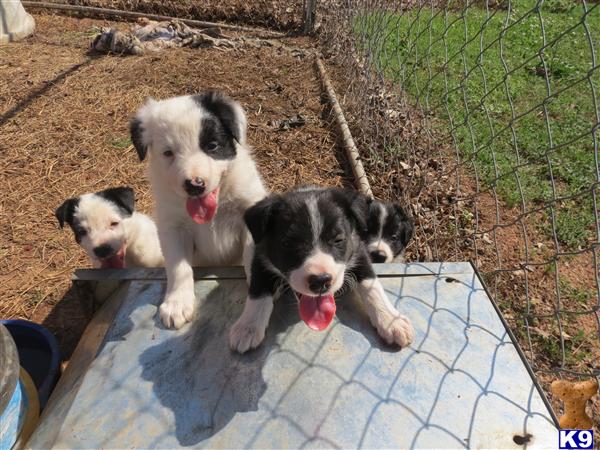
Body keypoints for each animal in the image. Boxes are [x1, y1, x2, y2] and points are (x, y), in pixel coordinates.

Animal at [131, 89, 268, 328]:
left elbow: (252, 257)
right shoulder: (172, 228)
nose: (194, 185)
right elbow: (178, 266)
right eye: (168, 153)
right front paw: (177, 303)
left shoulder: (250, 210)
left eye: (212, 146)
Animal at [227, 187, 414, 356]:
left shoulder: (359, 250)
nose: (321, 281)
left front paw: (391, 321)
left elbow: (371, 285)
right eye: (288, 243)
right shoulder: (260, 253)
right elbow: (258, 289)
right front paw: (248, 327)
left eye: (338, 239)